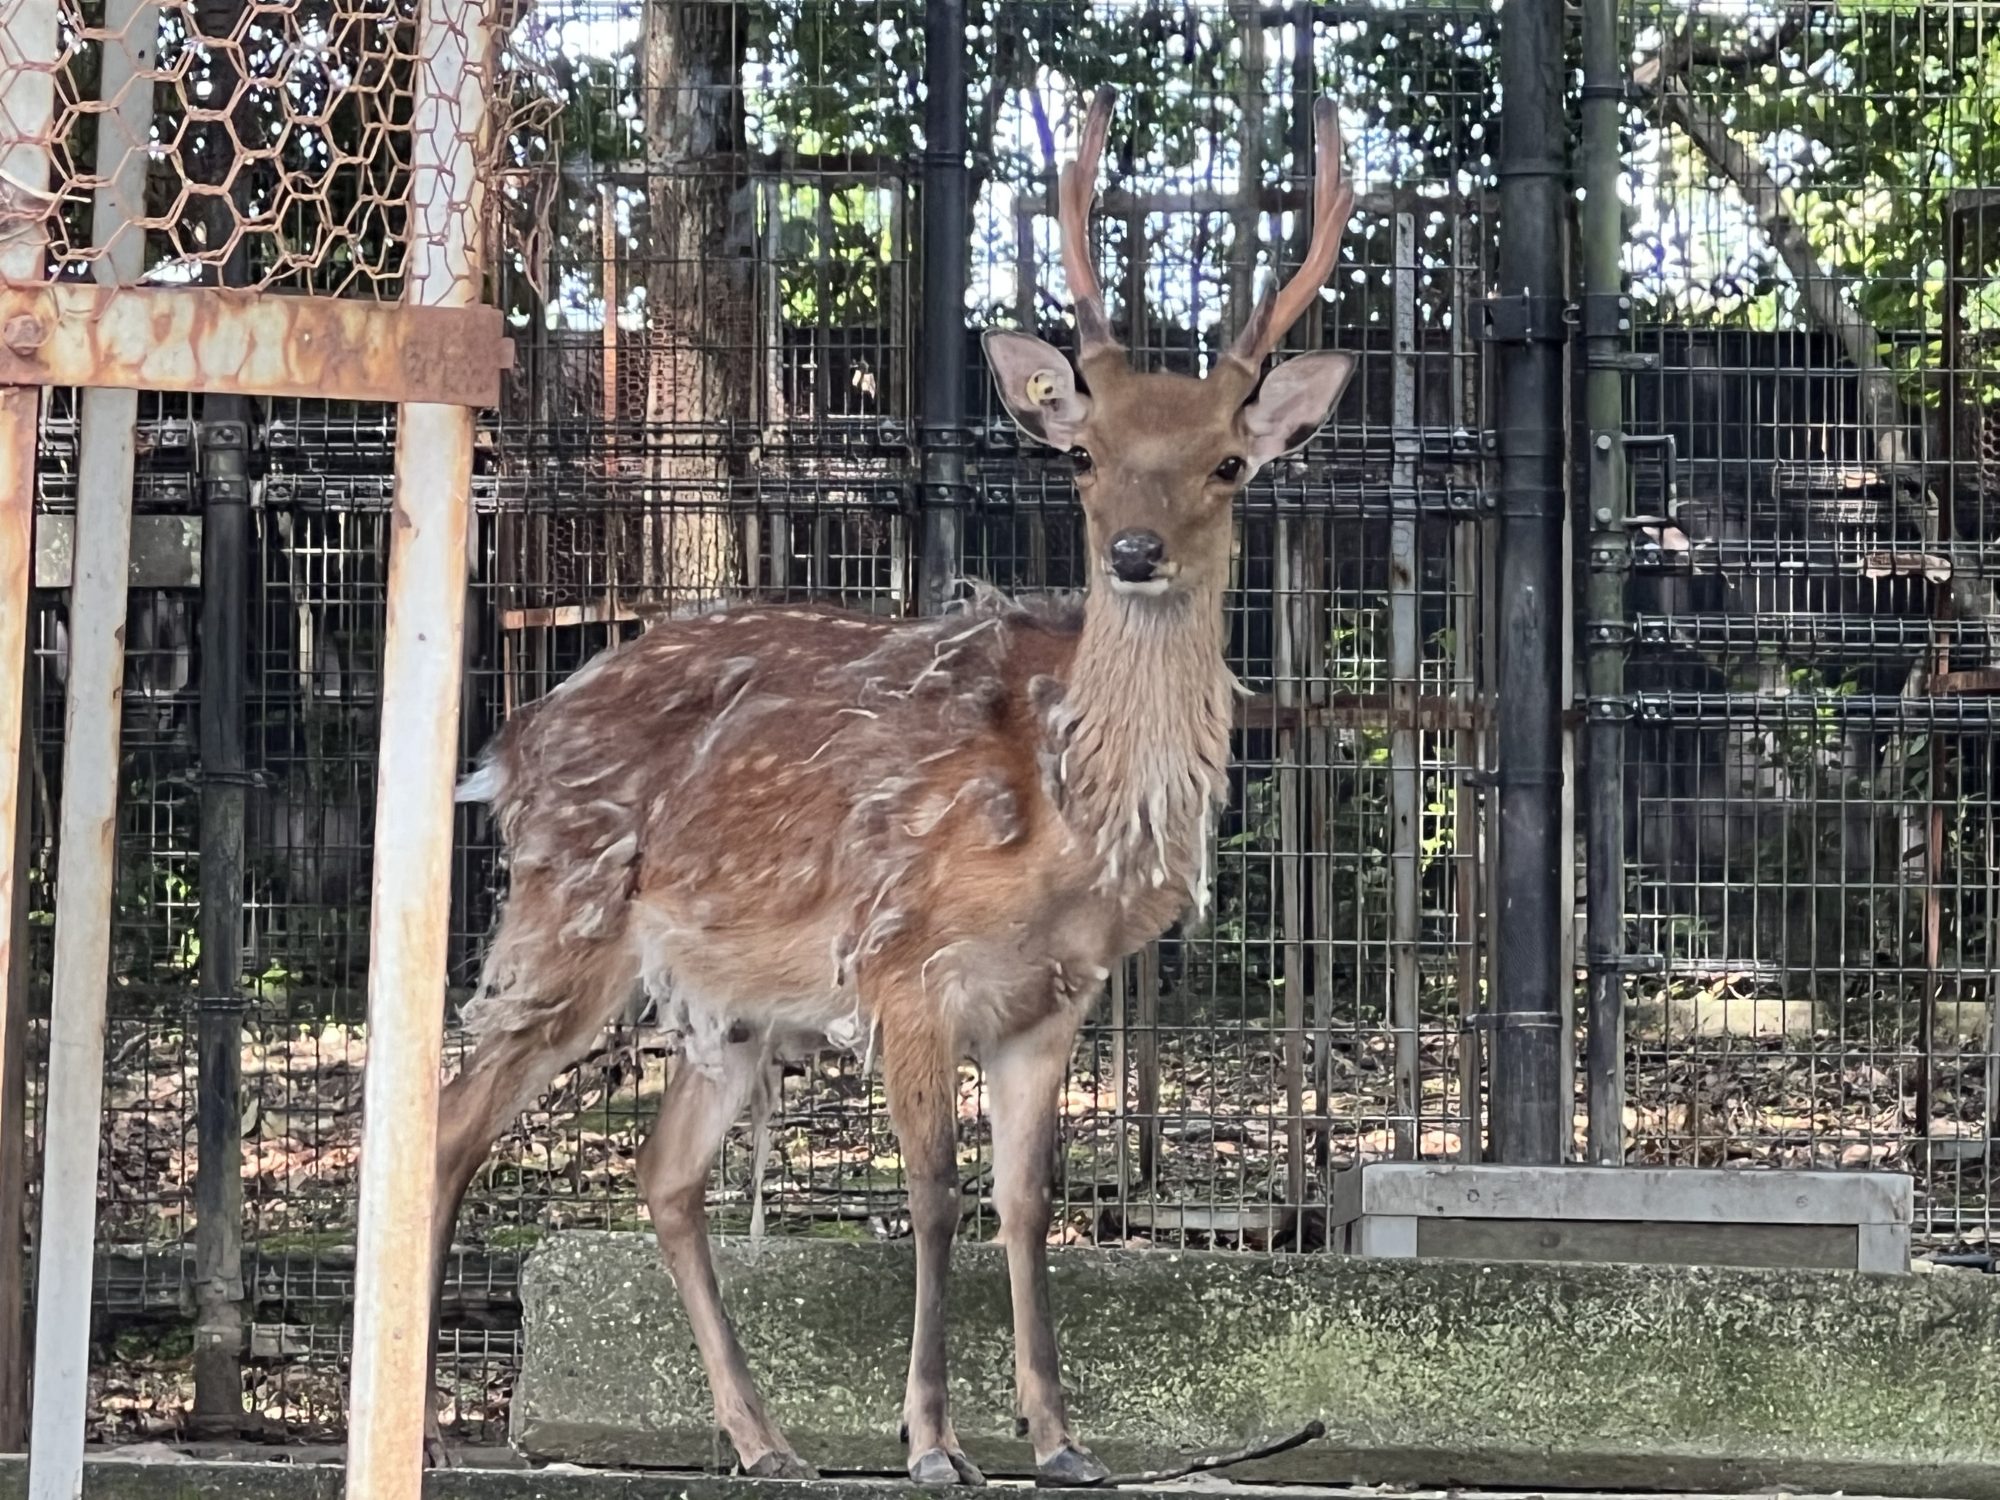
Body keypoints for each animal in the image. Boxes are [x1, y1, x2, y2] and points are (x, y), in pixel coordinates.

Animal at [426, 88, 1360, 1488]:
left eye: (1226, 464)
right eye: (1082, 458)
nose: (1135, 551)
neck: (1064, 823)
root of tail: (515, 740)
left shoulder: (1051, 1001)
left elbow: (1027, 1198)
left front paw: (1057, 1438)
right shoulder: (900, 961)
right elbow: (930, 1192)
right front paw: (929, 1440)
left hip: (728, 1000)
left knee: (661, 1172)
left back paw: (764, 1442)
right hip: (562, 919)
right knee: (449, 1125)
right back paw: (425, 1428)